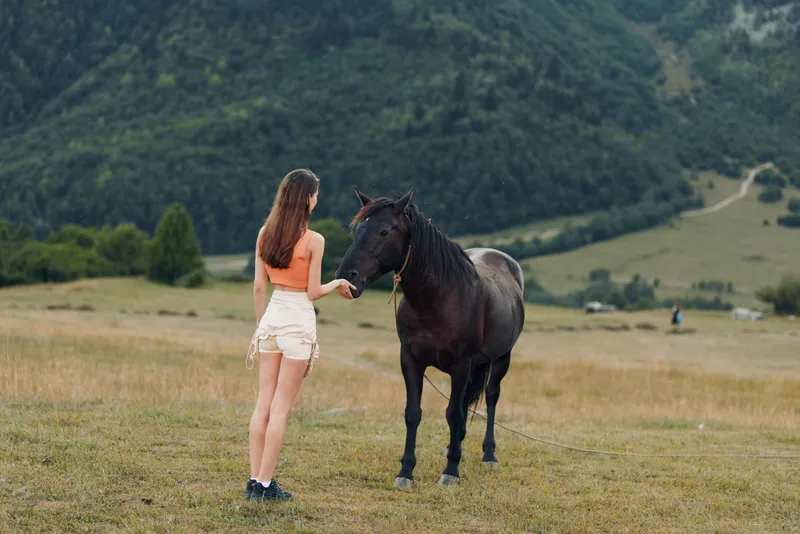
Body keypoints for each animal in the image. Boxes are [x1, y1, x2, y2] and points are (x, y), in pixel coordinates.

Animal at [335, 187, 525, 487]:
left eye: (384, 231)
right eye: (357, 230)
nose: (347, 277)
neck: (438, 298)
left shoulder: (461, 364)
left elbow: (453, 413)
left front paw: (450, 472)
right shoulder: (410, 360)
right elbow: (413, 413)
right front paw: (405, 472)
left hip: (501, 358)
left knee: (491, 396)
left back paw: (488, 456)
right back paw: (454, 447)